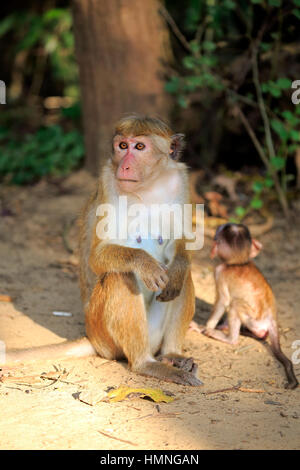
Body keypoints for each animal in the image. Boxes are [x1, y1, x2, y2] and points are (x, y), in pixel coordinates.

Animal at [203, 223, 298, 390]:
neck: (240, 262)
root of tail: (271, 318)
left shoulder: (220, 271)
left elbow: (223, 301)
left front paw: (205, 327)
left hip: (253, 320)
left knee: (234, 305)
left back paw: (229, 338)